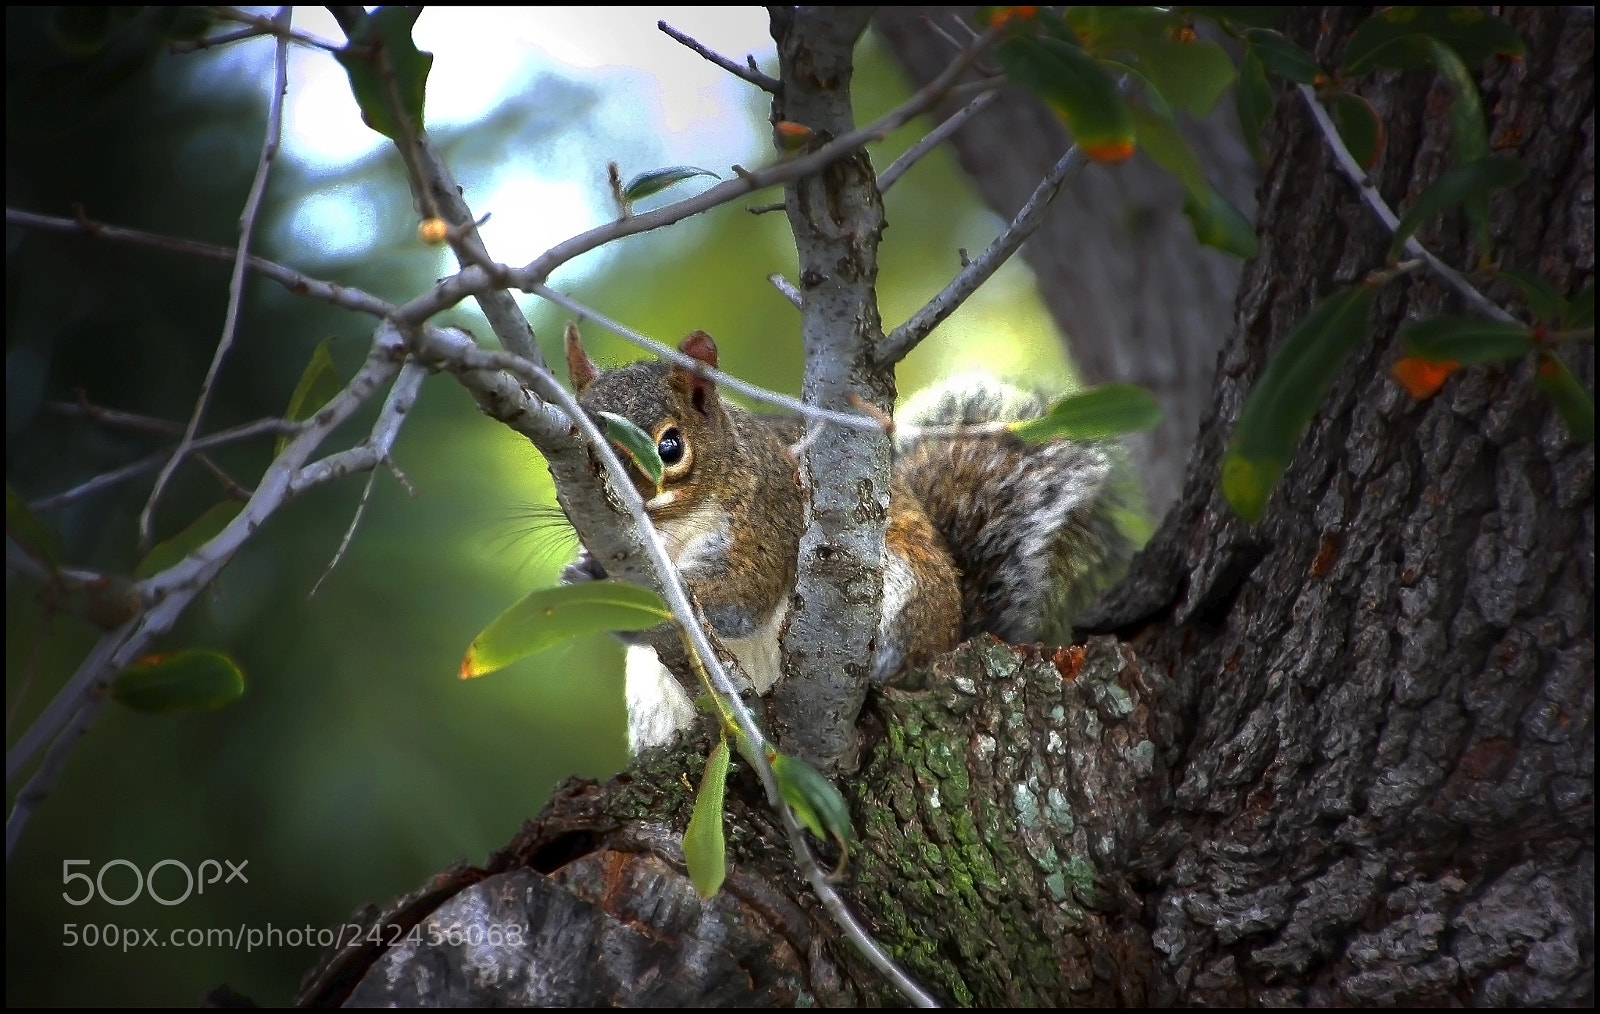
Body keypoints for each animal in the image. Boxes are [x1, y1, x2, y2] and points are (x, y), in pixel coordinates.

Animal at [560, 329, 1137, 754]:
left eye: (671, 446)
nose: (621, 504)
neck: (674, 537)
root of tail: (953, 633)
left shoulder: (771, 518)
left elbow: (745, 594)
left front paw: (680, 588)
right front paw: (583, 576)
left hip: (902, 589)